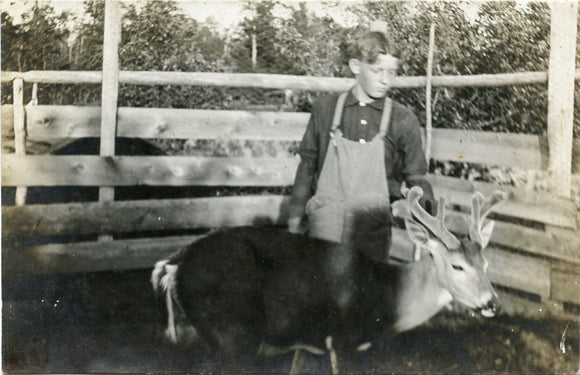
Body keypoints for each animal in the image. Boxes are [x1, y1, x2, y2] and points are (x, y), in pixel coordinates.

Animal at [152, 187, 506, 374]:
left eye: (487, 263)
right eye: (457, 266)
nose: (491, 303)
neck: (388, 296)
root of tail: (174, 265)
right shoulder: (343, 340)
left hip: (199, 334)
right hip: (232, 333)